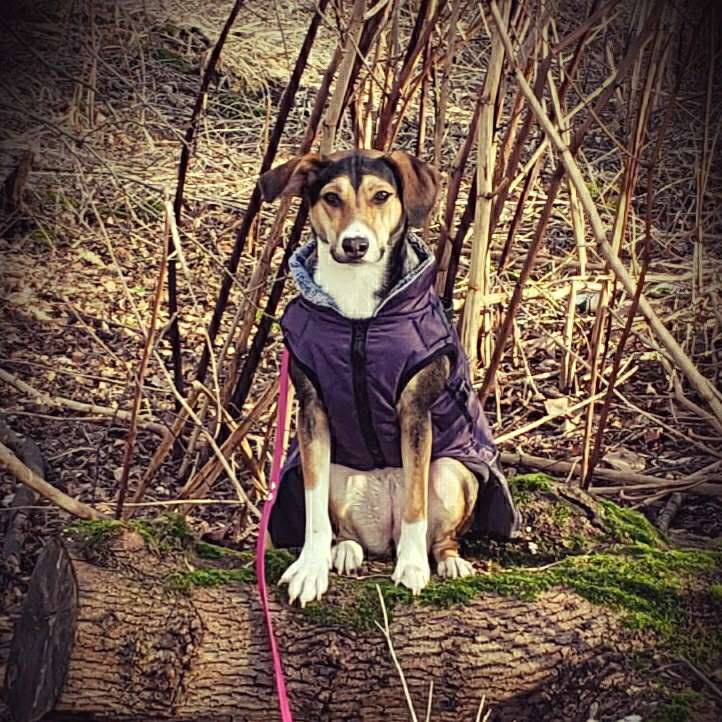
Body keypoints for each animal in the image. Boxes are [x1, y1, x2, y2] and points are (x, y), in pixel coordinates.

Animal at [258, 149, 516, 604]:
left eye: (381, 196)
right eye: (331, 197)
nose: (355, 245)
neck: (358, 316)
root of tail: (386, 534)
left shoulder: (415, 413)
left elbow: (415, 504)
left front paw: (412, 567)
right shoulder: (312, 413)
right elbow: (313, 512)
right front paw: (310, 568)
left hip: (450, 471)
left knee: (441, 535)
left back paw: (447, 561)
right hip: (340, 471)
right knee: (344, 529)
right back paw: (344, 551)